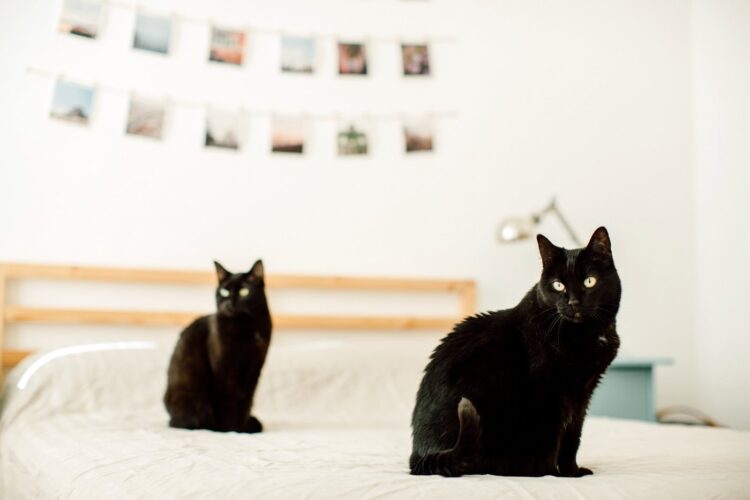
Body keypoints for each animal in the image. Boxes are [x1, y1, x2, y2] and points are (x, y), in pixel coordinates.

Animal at [165, 260, 274, 432]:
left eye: (244, 292)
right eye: (224, 292)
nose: (229, 303)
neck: (245, 328)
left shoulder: (254, 368)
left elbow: (246, 401)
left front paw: (241, 428)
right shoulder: (223, 368)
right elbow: (227, 400)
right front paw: (229, 430)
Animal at [412, 227, 624, 476]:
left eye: (590, 281)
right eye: (558, 285)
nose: (573, 302)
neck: (585, 333)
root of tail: (418, 456)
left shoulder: (582, 392)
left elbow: (573, 437)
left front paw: (572, 472)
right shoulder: (548, 391)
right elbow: (551, 440)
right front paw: (552, 474)